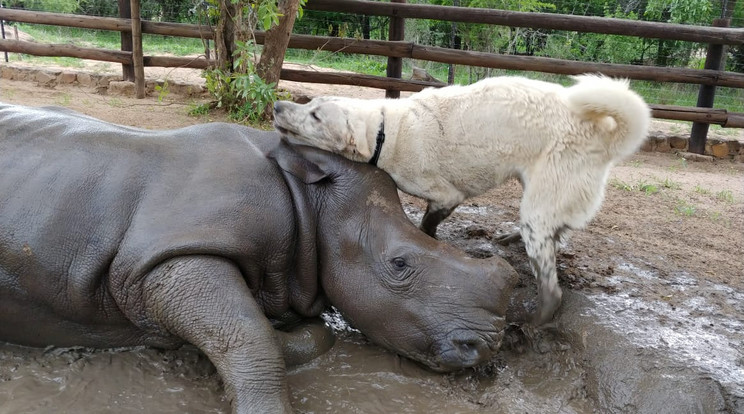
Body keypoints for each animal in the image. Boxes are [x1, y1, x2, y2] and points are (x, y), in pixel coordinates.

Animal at [274, 74, 652, 324]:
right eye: (310, 104)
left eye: (315, 116)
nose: (277, 104)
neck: (383, 130)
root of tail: (603, 135)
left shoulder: (446, 196)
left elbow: (425, 228)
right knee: (557, 233)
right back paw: (511, 237)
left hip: (539, 206)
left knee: (551, 283)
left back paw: (537, 319)